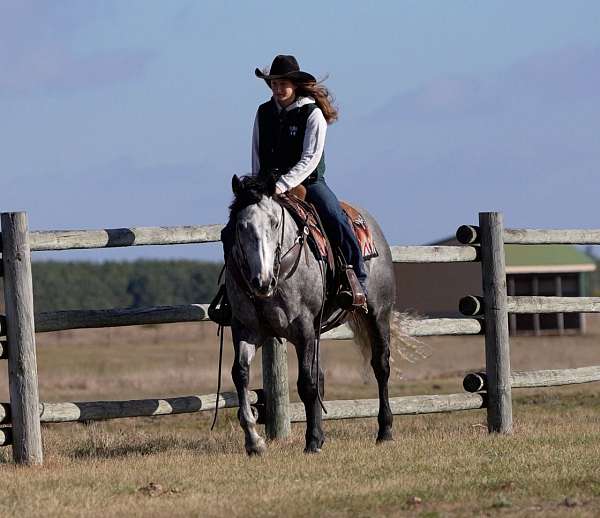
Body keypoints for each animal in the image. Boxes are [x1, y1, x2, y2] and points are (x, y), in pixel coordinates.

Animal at [227, 176, 400, 456]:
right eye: (241, 226)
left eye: (275, 222)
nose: (262, 281)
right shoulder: (247, 330)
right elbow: (240, 374)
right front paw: (254, 442)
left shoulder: (304, 329)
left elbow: (307, 384)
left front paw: (312, 441)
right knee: (321, 376)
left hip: (378, 314)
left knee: (381, 366)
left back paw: (385, 431)